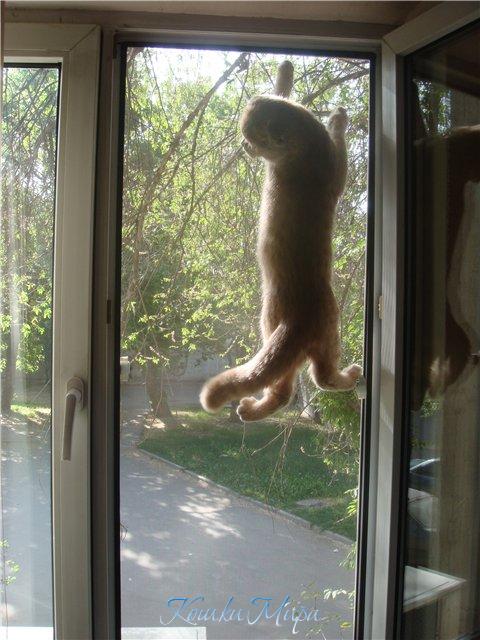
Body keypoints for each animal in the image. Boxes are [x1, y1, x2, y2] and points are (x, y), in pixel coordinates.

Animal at [200, 61, 362, 421]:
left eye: (254, 140)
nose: (244, 146)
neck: (308, 143)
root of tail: (297, 320)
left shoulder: (335, 175)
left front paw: (335, 118)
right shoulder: (334, 174)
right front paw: (288, 74)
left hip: (289, 328)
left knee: (300, 385)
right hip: (320, 336)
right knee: (310, 381)